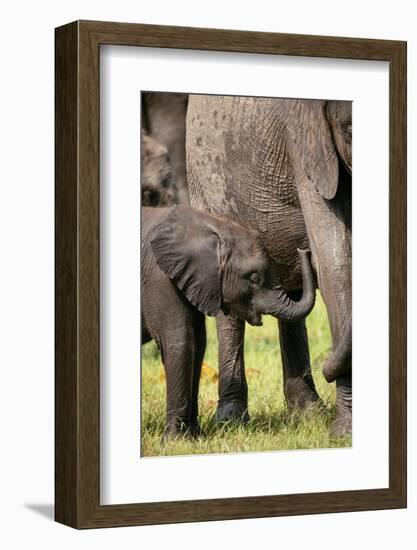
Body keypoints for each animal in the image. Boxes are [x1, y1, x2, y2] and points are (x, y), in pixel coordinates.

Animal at [141, 206, 314, 440]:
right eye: (253, 278)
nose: (303, 250)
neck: (211, 226)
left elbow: (198, 344)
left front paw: (195, 438)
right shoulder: (160, 279)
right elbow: (180, 343)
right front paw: (176, 441)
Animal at [185, 96, 352, 440]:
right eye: (350, 130)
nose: (328, 367)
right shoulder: (307, 145)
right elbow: (334, 260)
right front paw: (345, 433)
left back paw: (307, 414)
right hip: (202, 177)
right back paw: (232, 421)